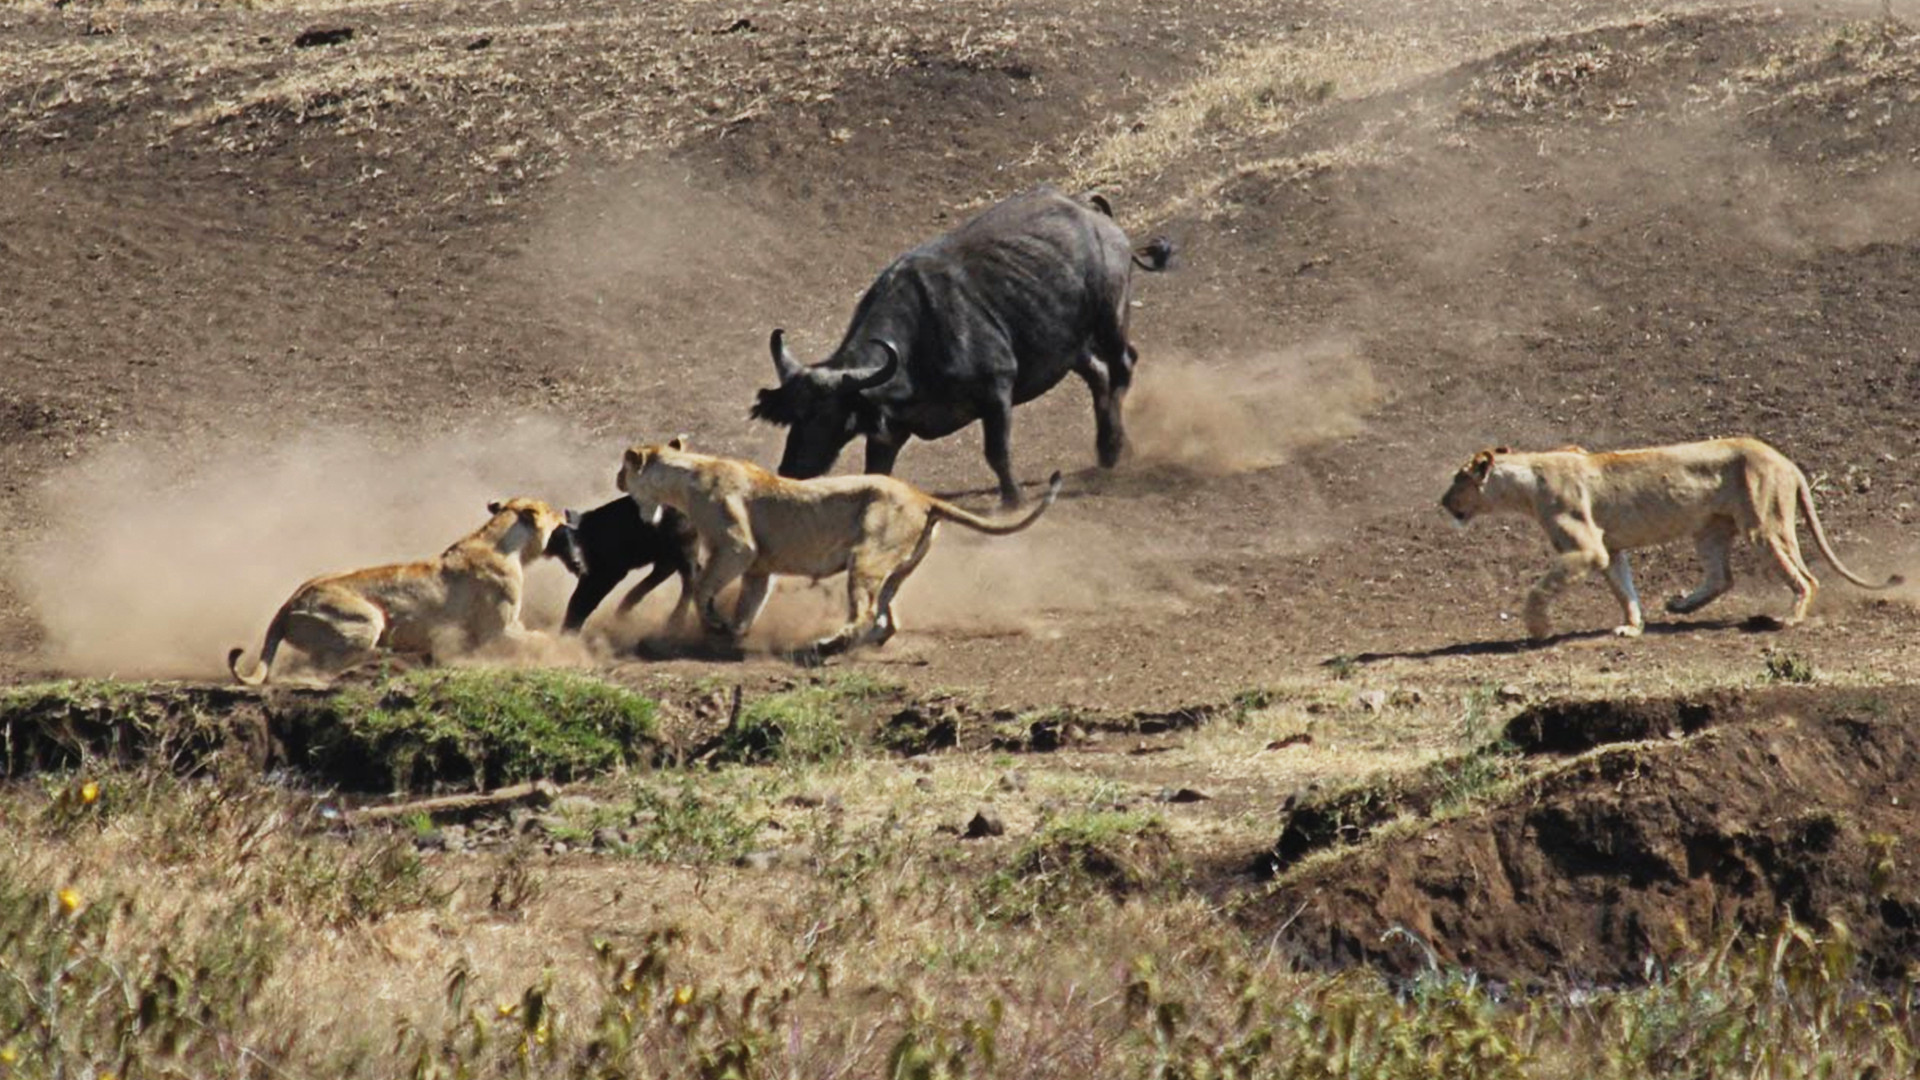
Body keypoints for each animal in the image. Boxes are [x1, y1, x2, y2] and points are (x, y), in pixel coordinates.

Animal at [227, 497, 568, 685]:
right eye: (550, 510)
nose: (565, 515)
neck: (505, 542)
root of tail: (287, 603)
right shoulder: (496, 632)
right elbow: (540, 639)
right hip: (367, 618)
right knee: (323, 664)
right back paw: (395, 658)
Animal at [616, 438, 1062, 659]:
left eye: (624, 468)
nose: (619, 480)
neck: (683, 476)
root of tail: (922, 496)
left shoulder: (737, 548)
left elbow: (703, 587)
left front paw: (713, 625)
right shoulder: (760, 567)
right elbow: (748, 603)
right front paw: (731, 632)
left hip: (866, 559)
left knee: (864, 613)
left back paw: (826, 644)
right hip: (895, 570)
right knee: (886, 619)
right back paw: (856, 643)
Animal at [749, 187, 1172, 506]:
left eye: (827, 416)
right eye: (793, 417)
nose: (792, 469)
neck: (920, 342)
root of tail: (1089, 209)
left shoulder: (996, 392)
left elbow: (997, 452)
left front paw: (1013, 500)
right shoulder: (890, 431)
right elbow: (877, 473)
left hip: (1110, 320)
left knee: (1122, 366)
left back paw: (1116, 447)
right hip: (1071, 346)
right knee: (1098, 375)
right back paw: (1107, 448)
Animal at [1440, 437, 1902, 640]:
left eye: (1457, 479)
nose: (1442, 502)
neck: (1524, 481)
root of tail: (1786, 460)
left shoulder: (1587, 548)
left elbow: (1540, 589)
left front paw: (1537, 628)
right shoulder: (1610, 550)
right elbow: (1624, 590)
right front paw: (1632, 627)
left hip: (1763, 525)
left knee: (1807, 577)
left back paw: (1789, 619)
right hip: (1710, 530)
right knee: (1722, 577)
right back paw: (1680, 605)